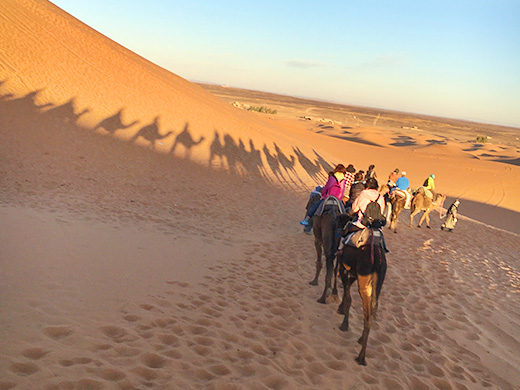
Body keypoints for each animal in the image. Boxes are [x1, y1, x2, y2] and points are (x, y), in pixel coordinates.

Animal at [338, 238, 386, 366]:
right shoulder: (353, 274)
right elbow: (347, 290)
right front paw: (341, 309)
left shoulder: (343, 267)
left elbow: (348, 297)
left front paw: (344, 324)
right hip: (377, 285)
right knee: (372, 311)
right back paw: (361, 341)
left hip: (364, 283)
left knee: (368, 315)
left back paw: (361, 357)